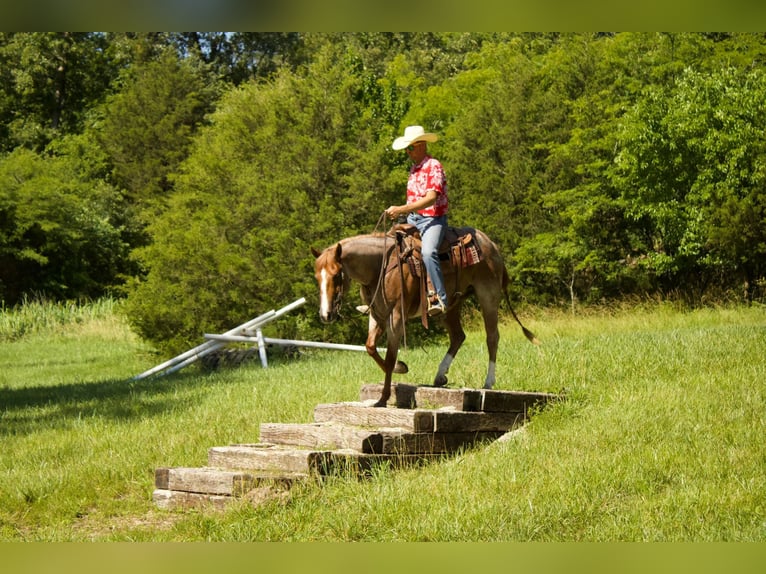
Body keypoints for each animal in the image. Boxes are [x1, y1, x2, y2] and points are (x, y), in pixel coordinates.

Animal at [312, 225, 540, 410]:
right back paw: (440, 376)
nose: (326, 314)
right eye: (316, 277)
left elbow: (390, 356)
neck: (380, 267)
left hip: (488, 296)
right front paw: (400, 369)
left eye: (336, 274)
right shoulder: (377, 315)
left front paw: (383, 398)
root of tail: (491, 245)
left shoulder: (396, 316)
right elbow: (370, 347)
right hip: (451, 306)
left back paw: (488, 382)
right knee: (458, 336)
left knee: (492, 337)